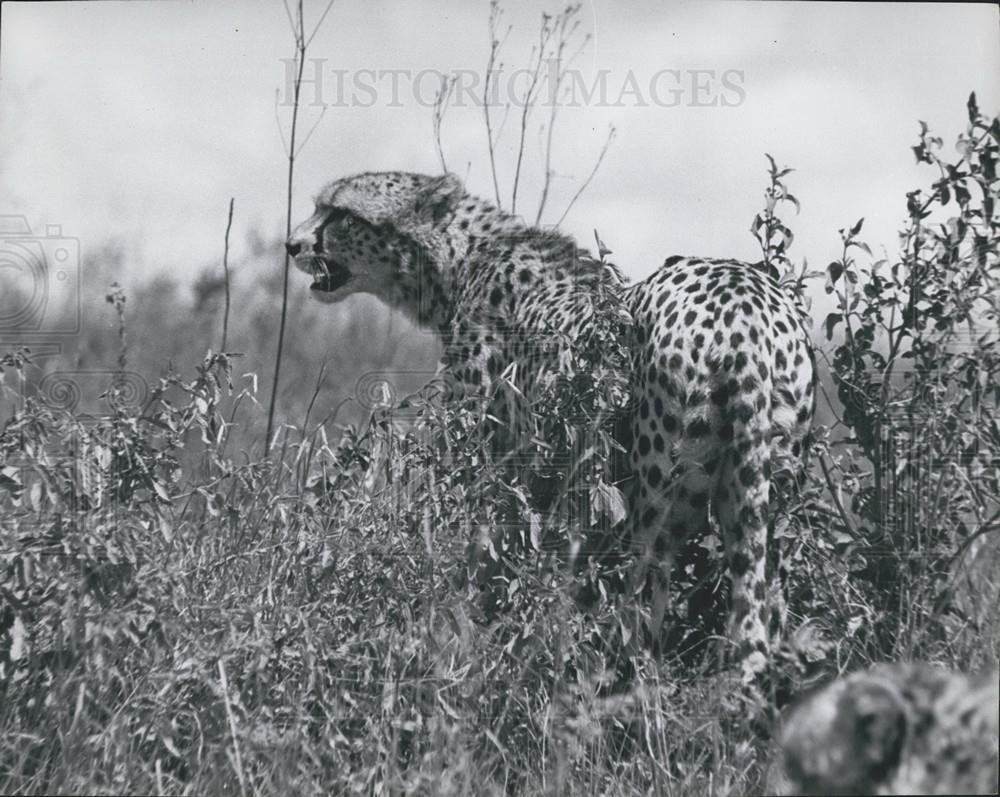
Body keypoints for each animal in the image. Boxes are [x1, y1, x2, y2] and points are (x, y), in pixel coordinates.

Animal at [285, 171, 816, 682]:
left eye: (341, 214)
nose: (291, 244)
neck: (462, 257)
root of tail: (744, 303)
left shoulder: (493, 463)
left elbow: (480, 553)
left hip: (655, 501)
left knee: (642, 603)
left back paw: (615, 684)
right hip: (767, 498)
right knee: (764, 605)